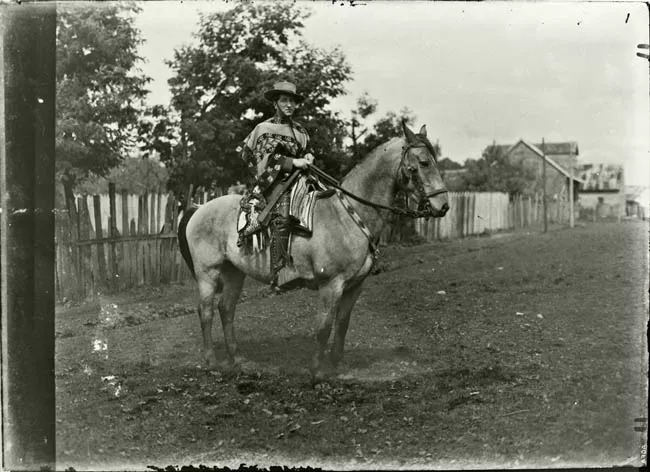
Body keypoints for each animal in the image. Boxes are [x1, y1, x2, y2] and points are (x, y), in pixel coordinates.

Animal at [178, 121, 449, 380]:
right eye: (423, 162)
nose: (443, 205)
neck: (348, 216)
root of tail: (198, 208)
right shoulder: (331, 284)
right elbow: (323, 327)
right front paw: (318, 371)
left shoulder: (354, 286)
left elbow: (342, 324)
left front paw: (336, 366)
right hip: (208, 272)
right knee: (206, 311)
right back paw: (212, 360)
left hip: (234, 272)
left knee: (226, 309)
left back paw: (236, 358)